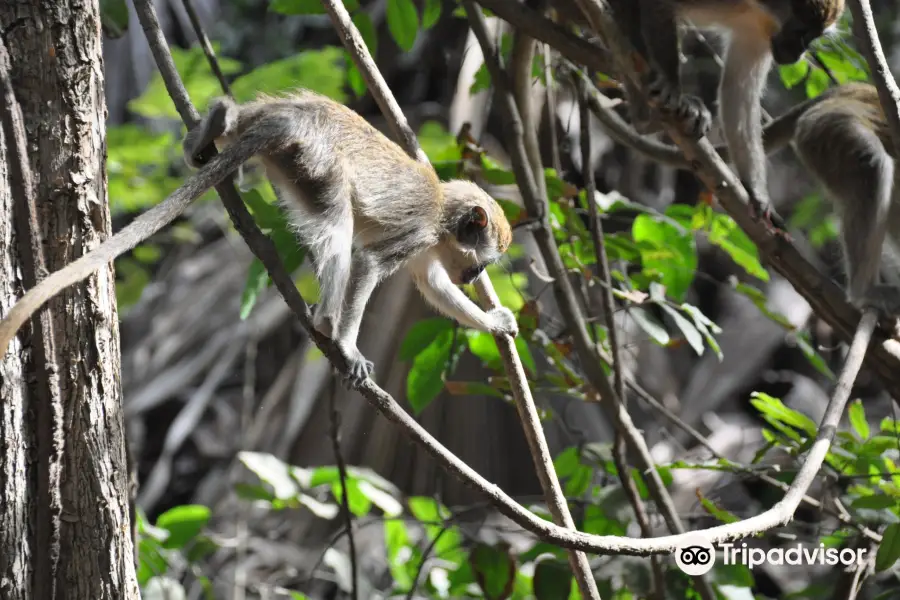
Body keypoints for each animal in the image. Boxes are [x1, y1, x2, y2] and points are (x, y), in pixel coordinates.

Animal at [0, 91, 520, 386]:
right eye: (482, 262)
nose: (474, 273)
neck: (444, 211)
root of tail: (292, 121)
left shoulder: (429, 248)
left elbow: (433, 285)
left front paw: (494, 322)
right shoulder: (420, 231)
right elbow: (371, 263)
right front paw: (349, 345)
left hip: (291, 153)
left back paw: (214, 125)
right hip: (317, 160)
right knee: (337, 225)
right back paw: (328, 322)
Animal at [608, 0, 848, 232]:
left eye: (814, 36)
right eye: (801, 32)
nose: (799, 53)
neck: (755, 9)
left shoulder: (759, 31)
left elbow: (738, 93)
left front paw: (756, 190)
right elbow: (656, 4)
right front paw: (671, 85)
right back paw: (646, 115)